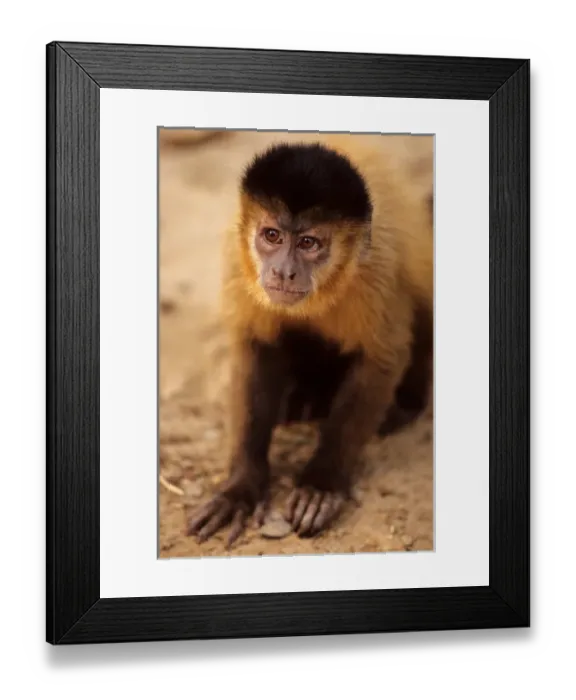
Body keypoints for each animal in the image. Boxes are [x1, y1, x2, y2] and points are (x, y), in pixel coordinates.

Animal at [187, 135, 434, 548]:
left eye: (308, 243)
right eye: (272, 236)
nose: (284, 272)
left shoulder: (375, 269)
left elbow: (382, 359)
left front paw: (321, 484)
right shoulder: (239, 262)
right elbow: (254, 349)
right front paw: (241, 487)